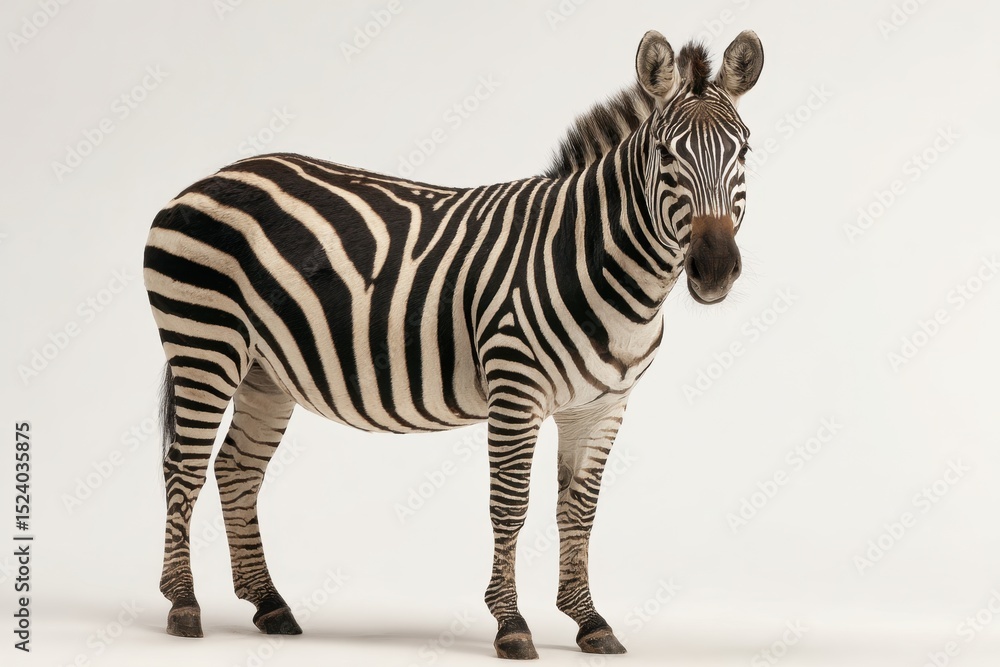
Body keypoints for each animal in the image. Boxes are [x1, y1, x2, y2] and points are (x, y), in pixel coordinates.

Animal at [143, 29, 764, 659]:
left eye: (744, 152)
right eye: (665, 154)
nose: (715, 270)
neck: (599, 265)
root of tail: (211, 176)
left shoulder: (603, 407)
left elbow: (579, 510)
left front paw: (589, 620)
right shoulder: (516, 390)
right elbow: (510, 505)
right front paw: (511, 624)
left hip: (264, 371)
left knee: (236, 468)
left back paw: (269, 604)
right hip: (205, 344)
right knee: (183, 467)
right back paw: (183, 604)